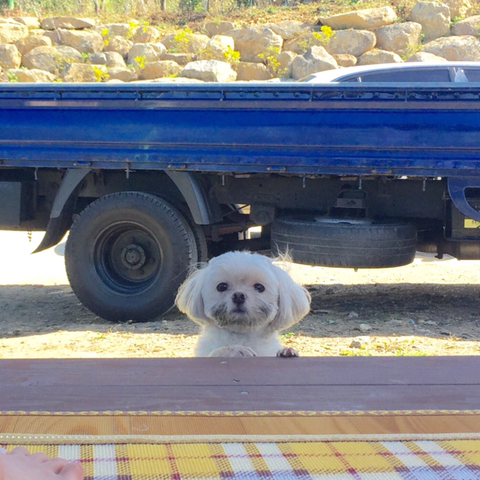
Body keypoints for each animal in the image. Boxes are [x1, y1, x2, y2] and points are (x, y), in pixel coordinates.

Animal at [175, 251, 311, 357]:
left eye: (259, 287)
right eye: (222, 286)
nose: (239, 296)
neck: (242, 335)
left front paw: (286, 351)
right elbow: (218, 351)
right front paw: (236, 349)